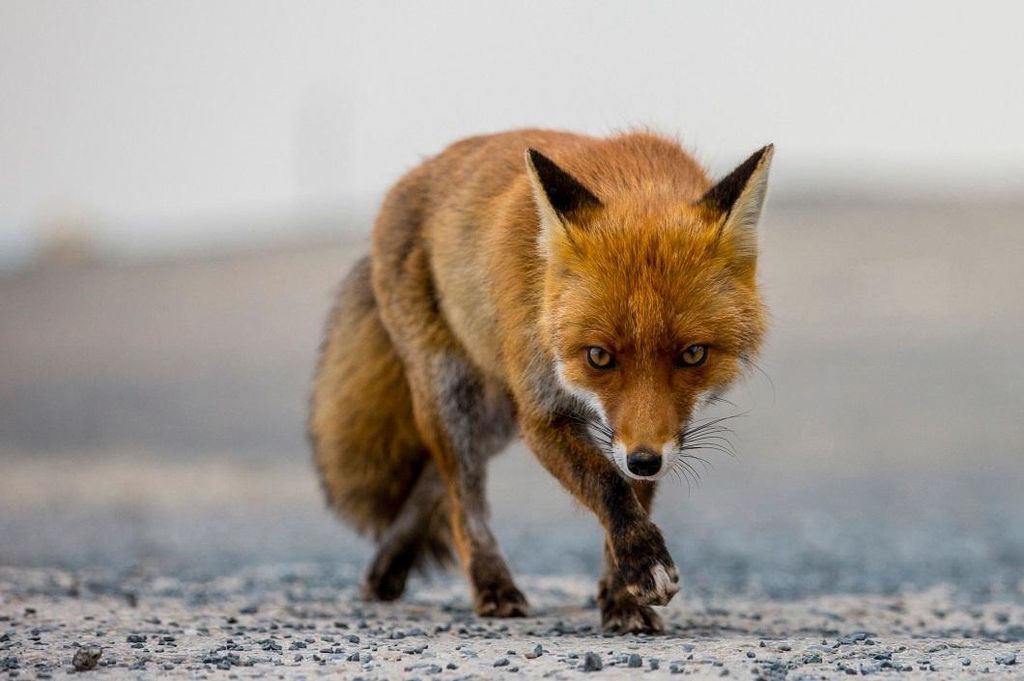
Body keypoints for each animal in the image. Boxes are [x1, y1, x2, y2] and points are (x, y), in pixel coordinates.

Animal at [307, 127, 770, 630]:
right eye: (598, 356)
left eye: (693, 354)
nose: (644, 461)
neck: (636, 182)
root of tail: (413, 174)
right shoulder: (542, 415)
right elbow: (607, 485)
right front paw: (643, 564)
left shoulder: (644, 433)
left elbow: (629, 495)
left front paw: (622, 598)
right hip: (455, 396)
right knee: (462, 501)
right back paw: (491, 585)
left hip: (495, 419)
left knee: (433, 481)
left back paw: (386, 567)